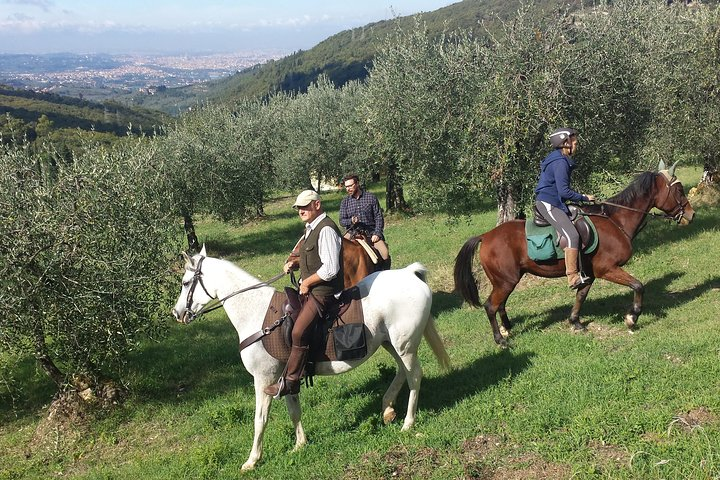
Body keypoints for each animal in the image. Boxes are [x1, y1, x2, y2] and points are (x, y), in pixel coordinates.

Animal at [170, 249, 450, 470]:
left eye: (185, 282)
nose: (177, 313)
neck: (256, 313)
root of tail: (409, 274)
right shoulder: (286, 377)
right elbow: (294, 409)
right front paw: (300, 444)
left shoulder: (264, 379)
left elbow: (260, 420)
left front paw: (252, 460)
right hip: (392, 344)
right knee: (403, 372)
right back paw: (388, 408)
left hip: (404, 346)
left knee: (414, 376)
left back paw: (408, 422)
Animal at [452, 163, 696, 346]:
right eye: (679, 191)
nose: (691, 215)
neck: (616, 221)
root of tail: (485, 236)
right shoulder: (607, 269)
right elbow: (638, 286)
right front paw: (632, 317)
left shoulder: (590, 273)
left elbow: (581, 295)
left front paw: (575, 322)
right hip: (506, 281)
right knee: (491, 306)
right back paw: (500, 339)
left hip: (506, 281)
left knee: (500, 305)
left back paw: (507, 328)